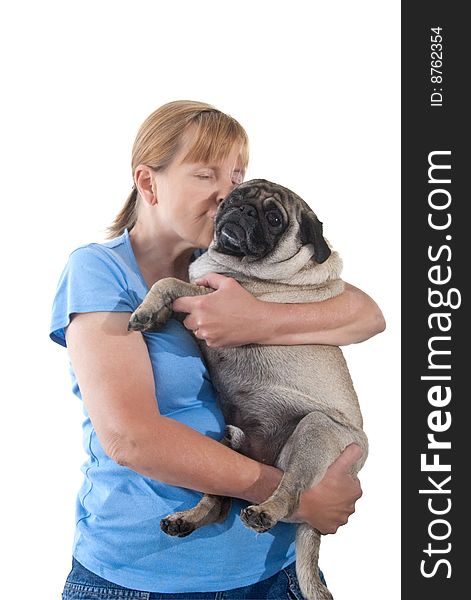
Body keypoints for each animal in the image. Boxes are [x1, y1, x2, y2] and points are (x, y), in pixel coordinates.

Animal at [128, 179, 368, 600]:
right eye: (236, 197)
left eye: (274, 219)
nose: (243, 210)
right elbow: (171, 290)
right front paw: (155, 316)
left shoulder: (211, 300)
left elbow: (168, 282)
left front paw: (146, 309)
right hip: (229, 443)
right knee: (221, 502)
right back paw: (187, 519)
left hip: (315, 430)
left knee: (290, 493)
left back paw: (264, 512)